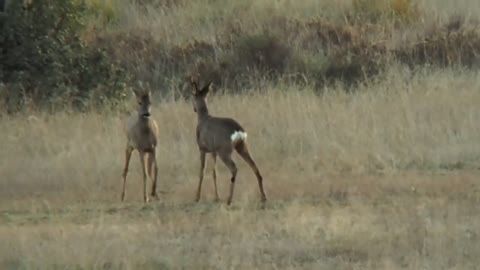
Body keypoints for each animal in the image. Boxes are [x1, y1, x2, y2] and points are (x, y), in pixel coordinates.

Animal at [190, 77, 266, 205]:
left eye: (193, 96)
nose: (194, 109)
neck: (203, 118)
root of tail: (238, 130)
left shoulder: (202, 148)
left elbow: (202, 171)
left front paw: (197, 197)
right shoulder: (213, 151)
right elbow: (214, 172)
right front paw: (216, 197)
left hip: (224, 151)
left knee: (234, 168)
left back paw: (229, 199)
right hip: (242, 146)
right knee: (255, 167)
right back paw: (263, 197)